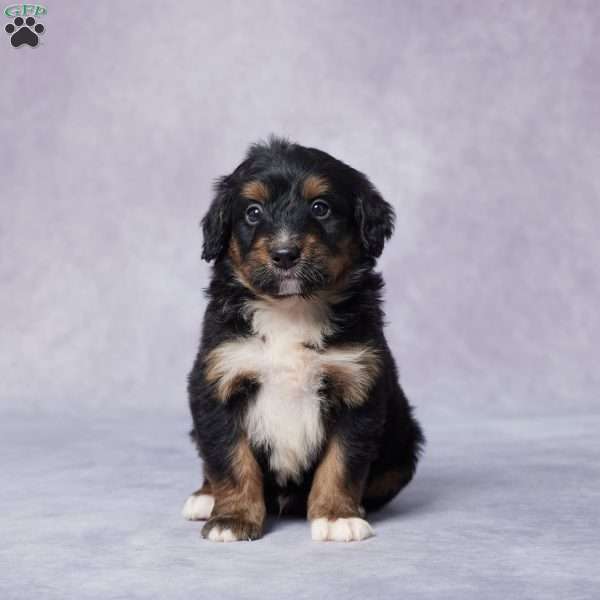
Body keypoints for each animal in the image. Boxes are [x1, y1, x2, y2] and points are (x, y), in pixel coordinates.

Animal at [183, 138, 422, 540]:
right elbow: (230, 459)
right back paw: (204, 496)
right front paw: (232, 518)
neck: (291, 309)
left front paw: (337, 516)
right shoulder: (218, 381)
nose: (284, 254)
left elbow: (342, 461)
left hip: (405, 440)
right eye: (252, 212)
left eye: (320, 207)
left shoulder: (358, 386)